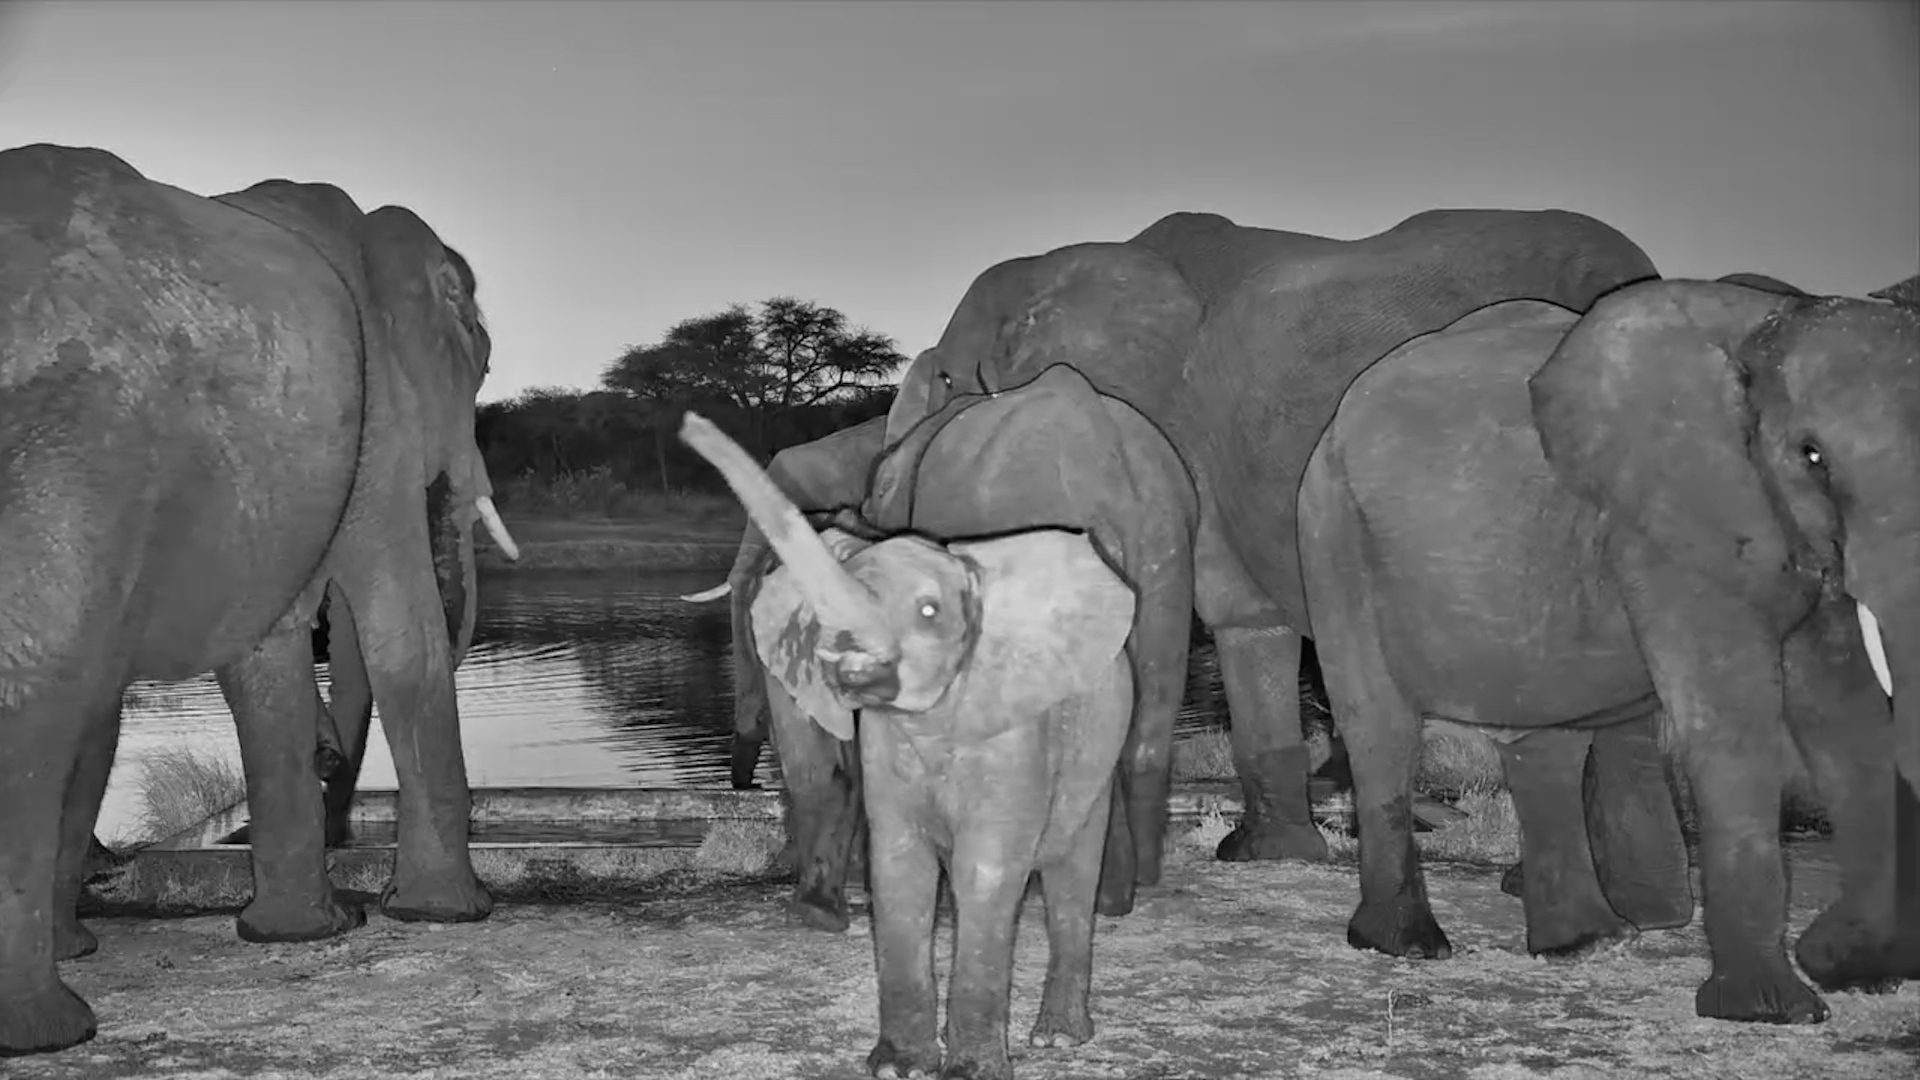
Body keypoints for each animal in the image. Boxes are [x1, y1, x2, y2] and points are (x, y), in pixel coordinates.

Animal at [0, 144, 516, 1055]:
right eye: (481, 363)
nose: (333, 764)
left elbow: (265, 659)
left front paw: (294, 934)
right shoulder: (378, 412)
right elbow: (402, 633)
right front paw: (443, 918)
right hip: (84, 436)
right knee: (46, 676)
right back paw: (52, 1029)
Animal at [681, 411, 1138, 1080]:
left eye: (928, 611)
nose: (692, 428)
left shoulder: (1014, 730)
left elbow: (986, 868)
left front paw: (971, 1072)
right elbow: (899, 867)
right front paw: (900, 1068)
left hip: (1099, 745)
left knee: (1069, 872)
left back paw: (1058, 1038)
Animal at [886, 208, 1660, 869]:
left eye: (949, 378)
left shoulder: (1187, 439)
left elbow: (1229, 611)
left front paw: (1251, 854)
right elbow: (1249, 625)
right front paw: (1278, 854)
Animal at [1297, 282, 1917, 1024]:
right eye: (1812, 455)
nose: (1823, 947)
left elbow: (1847, 714)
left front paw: (1855, 970)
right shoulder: (1667, 527)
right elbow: (1735, 716)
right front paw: (1775, 1009)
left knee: (1548, 739)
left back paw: (1585, 944)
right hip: (1333, 537)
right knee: (1382, 729)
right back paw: (1409, 947)